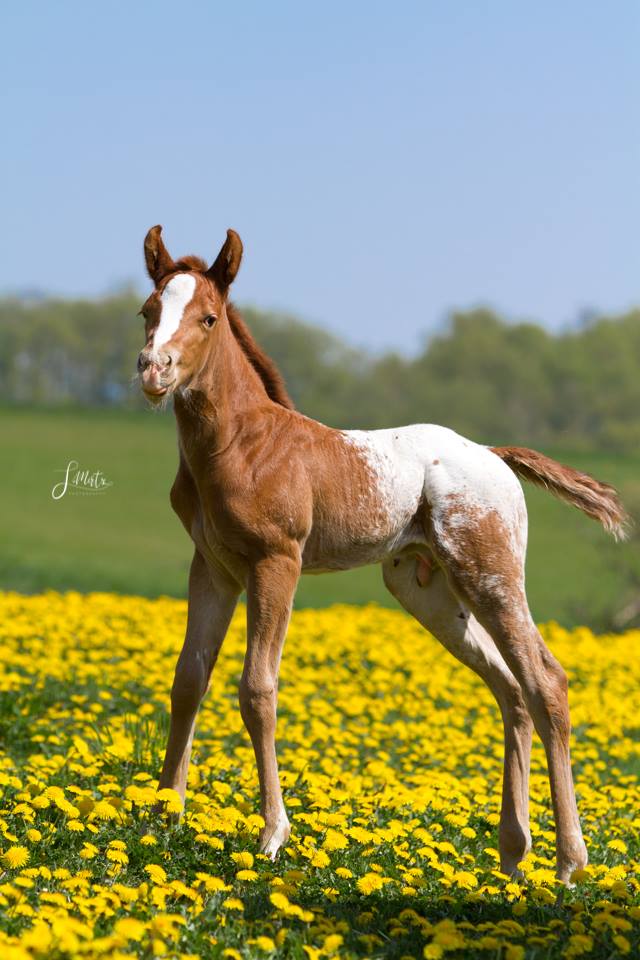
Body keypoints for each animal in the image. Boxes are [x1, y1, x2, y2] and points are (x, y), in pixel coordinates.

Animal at [138, 227, 628, 884]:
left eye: (208, 318)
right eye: (148, 311)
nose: (153, 369)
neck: (243, 444)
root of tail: (494, 455)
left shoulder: (276, 563)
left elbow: (257, 688)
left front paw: (272, 834)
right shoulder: (212, 567)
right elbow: (189, 680)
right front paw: (162, 818)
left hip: (491, 575)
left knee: (545, 680)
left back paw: (570, 860)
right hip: (428, 589)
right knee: (510, 689)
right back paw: (512, 852)